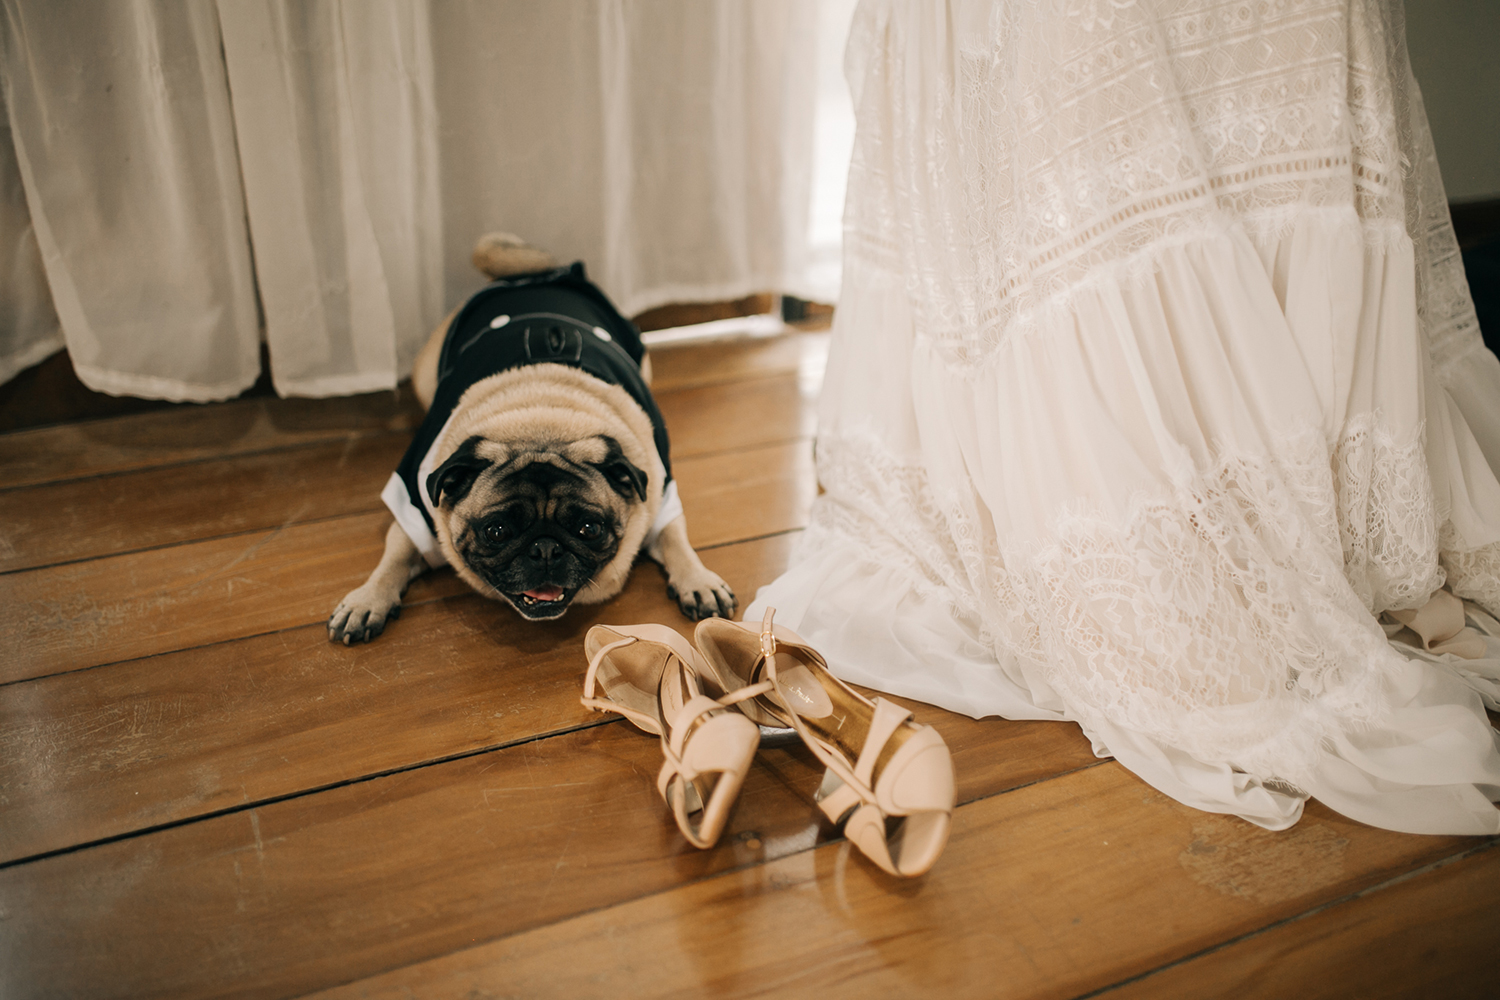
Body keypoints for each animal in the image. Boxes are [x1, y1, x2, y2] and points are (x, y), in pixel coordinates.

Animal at [334, 232, 744, 644]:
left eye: (589, 529)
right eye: (496, 531)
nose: (545, 550)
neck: (542, 417)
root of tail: (535, 275)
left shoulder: (660, 494)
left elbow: (677, 539)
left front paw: (698, 580)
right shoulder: (413, 507)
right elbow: (395, 554)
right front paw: (367, 600)